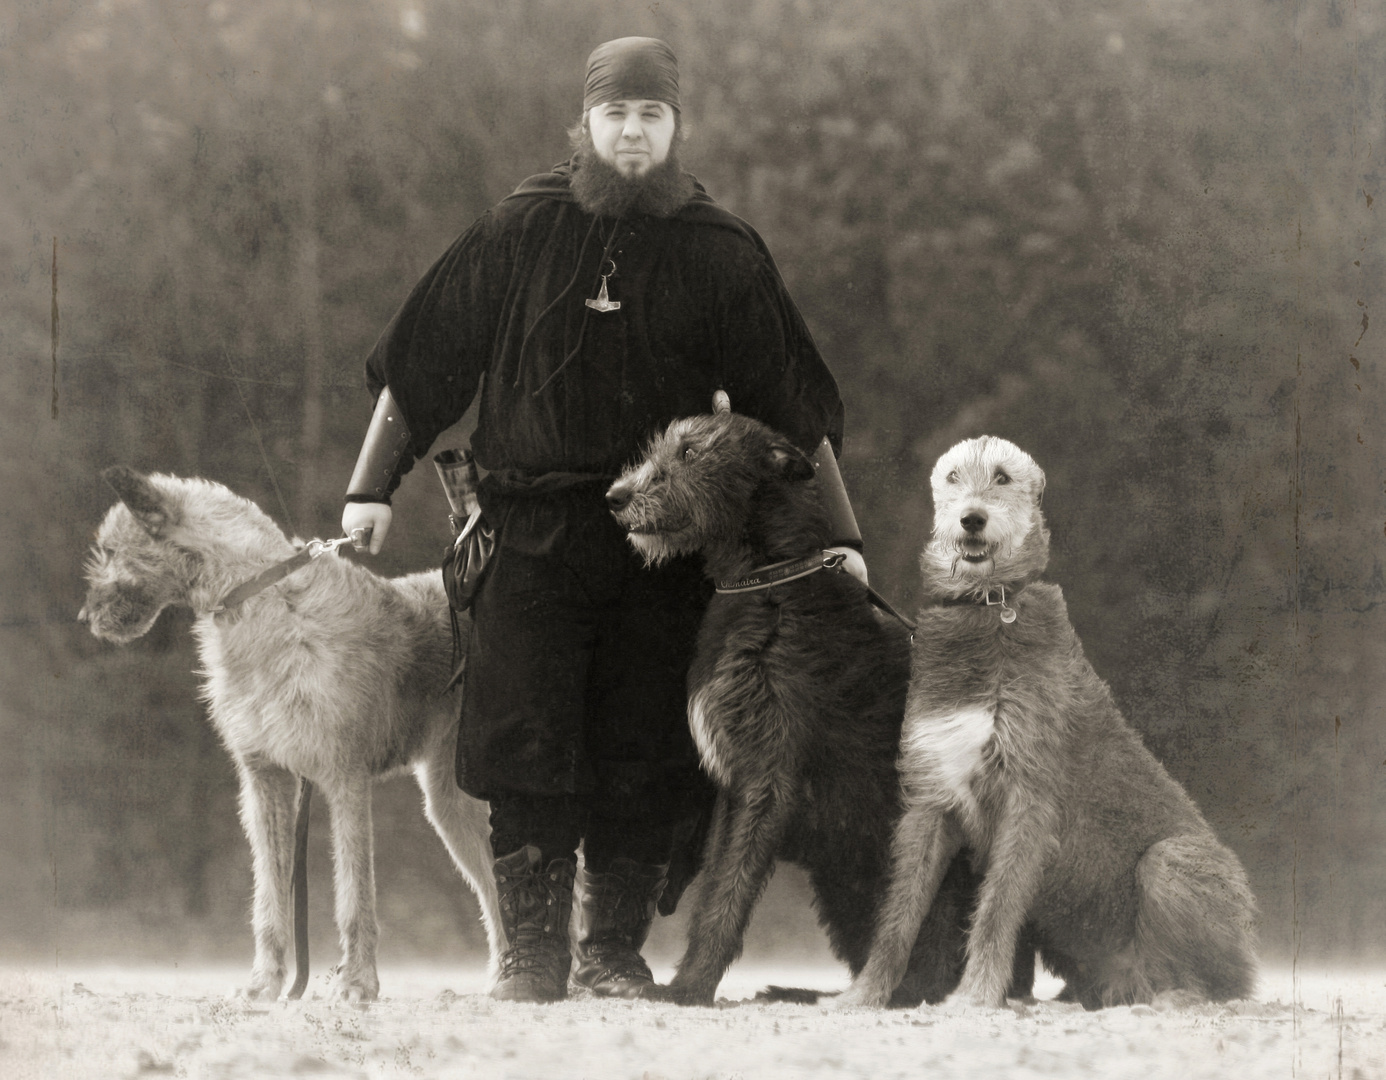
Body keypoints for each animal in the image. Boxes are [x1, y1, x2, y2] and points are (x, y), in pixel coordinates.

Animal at [609, 413, 986, 1003]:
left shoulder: (769, 776)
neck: (769, 585)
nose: (614, 496)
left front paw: (688, 986)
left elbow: (728, 892)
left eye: (690, 453)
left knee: (923, 973)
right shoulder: (736, 786)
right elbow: (717, 880)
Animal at [826, 435, 1264, 1009]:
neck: (988, 606)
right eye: (952, 476)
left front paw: (975, 998)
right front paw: (863, 995)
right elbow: (900, 914)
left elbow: (995, 911)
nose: (971, 519)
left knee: (1220, 983)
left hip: (1172, 863)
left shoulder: (1027, 796)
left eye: (1003, 476)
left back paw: (1174, 996)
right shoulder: (930, 798)